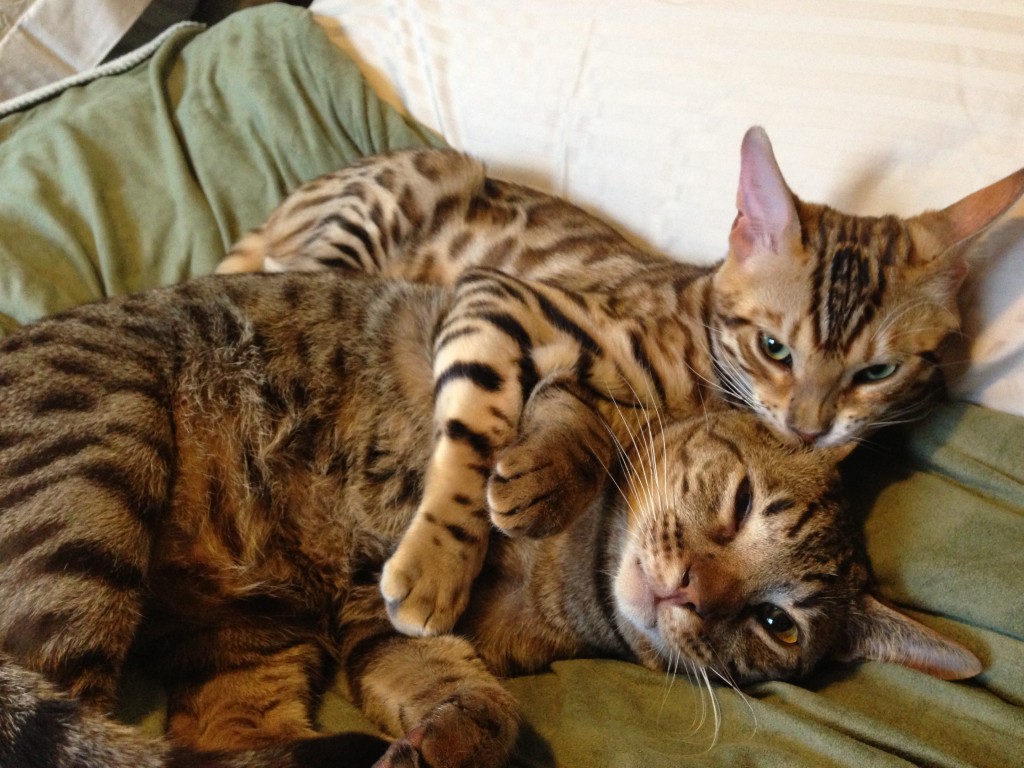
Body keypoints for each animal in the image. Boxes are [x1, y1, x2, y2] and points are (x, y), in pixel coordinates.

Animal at [0, 272, 974, 768]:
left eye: (776, 625)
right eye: (738, 505)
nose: (690, 592)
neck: (566, 582)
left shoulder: (367, 621)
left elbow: (466, 694)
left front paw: (444, 738)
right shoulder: (535, 351)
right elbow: (565, 412)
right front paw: (532, 478)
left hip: (250, 636)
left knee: (218, 737)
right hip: (98, 471)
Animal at [216, 128, 1024, 638]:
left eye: (875, 372)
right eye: (774, 349)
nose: (808, 426)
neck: (699, 382)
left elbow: (584, 423)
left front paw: (543, 476)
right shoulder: (496, 296)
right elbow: (476, 433)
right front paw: (441, 564)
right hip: (401, 197)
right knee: (271, 271)